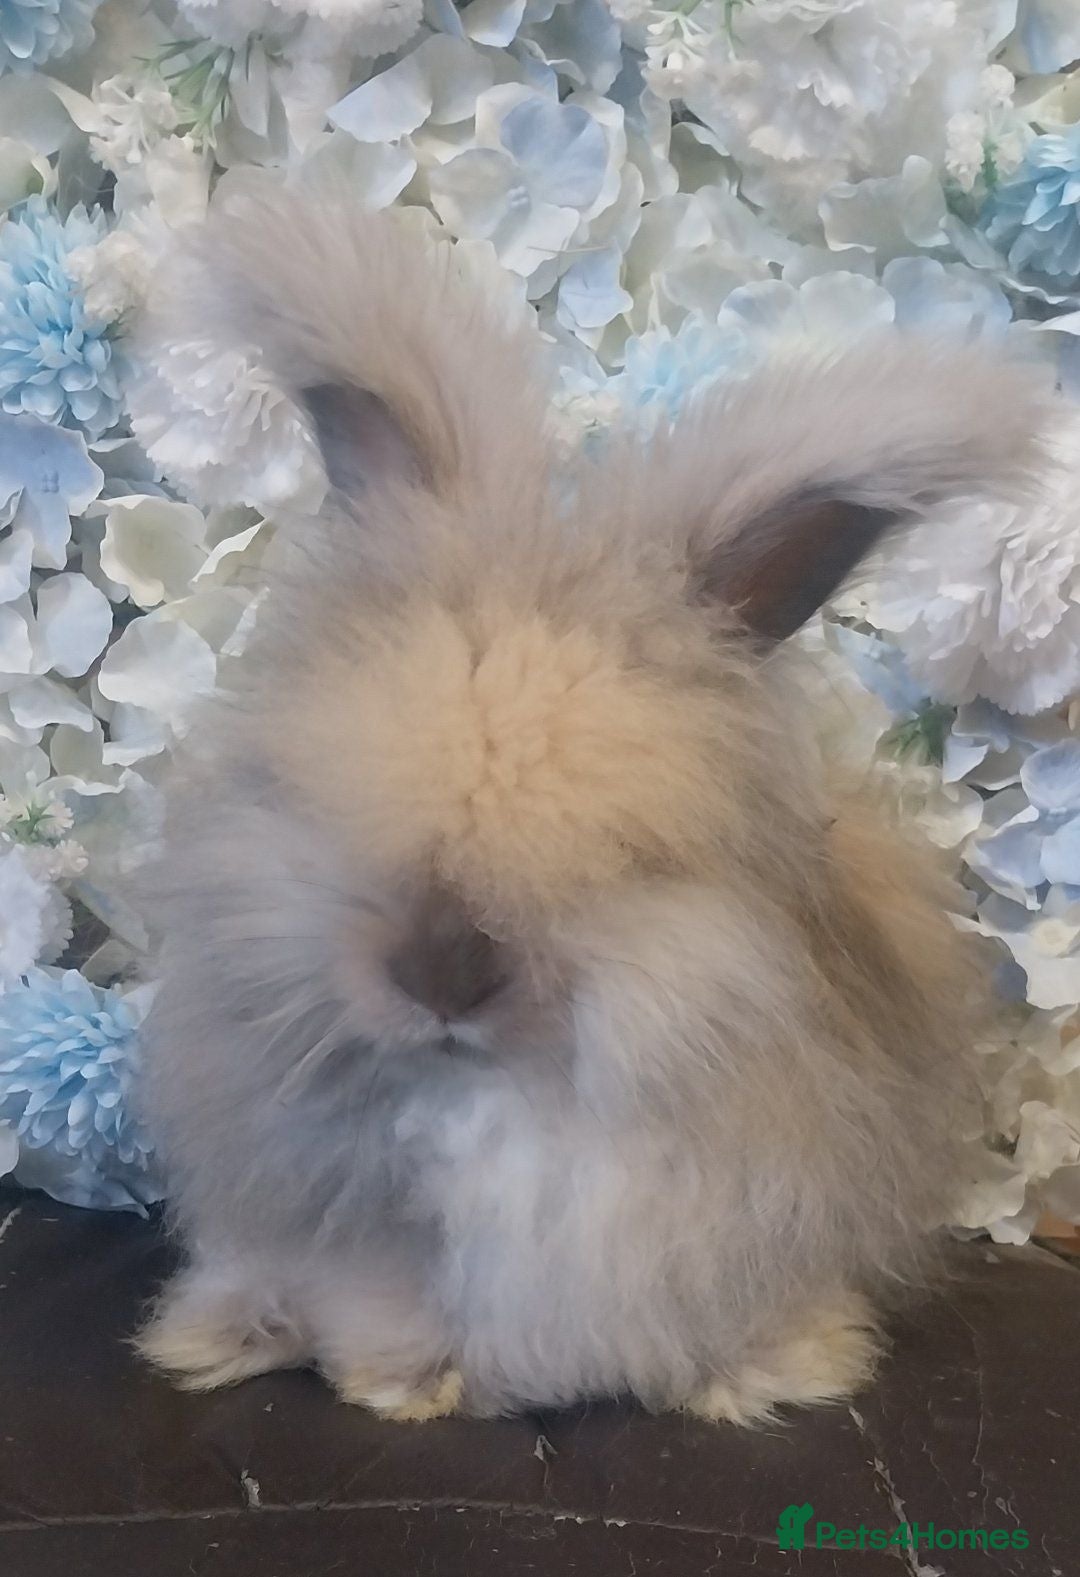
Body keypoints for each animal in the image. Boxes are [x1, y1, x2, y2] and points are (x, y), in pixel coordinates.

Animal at [134, 192, 1048, 1424]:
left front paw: (772, 1374)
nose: (442, 976)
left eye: (625, 848)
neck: (503, 1096)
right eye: (317, 792)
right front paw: (406, 1384)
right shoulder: (355, 1213)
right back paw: (224, 1332)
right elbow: (383, 1293)